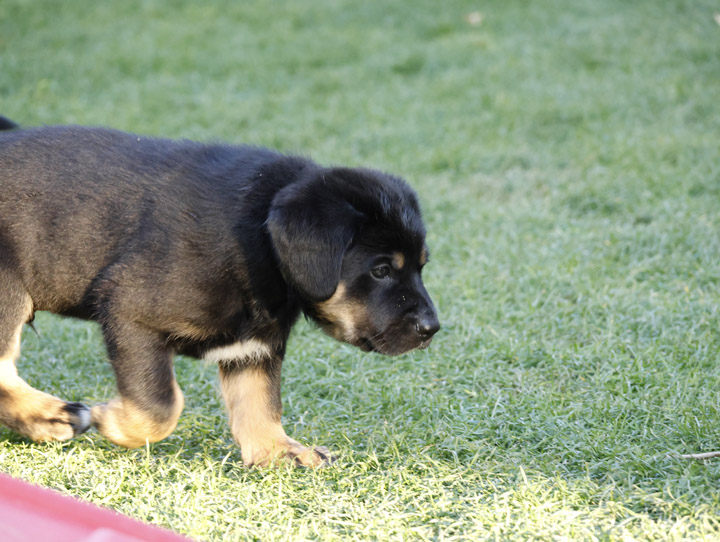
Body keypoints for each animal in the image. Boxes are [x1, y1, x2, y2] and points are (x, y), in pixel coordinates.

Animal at [0, 118, 438, 468]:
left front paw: (277, 450)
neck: (261, 239)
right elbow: (162, 405)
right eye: (381, 270)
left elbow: (259, 402)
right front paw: (116, 422)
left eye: (421, 266)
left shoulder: (253, 345)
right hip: (9, 289)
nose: (432, 329)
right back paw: (50, 415)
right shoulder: (131, 313)